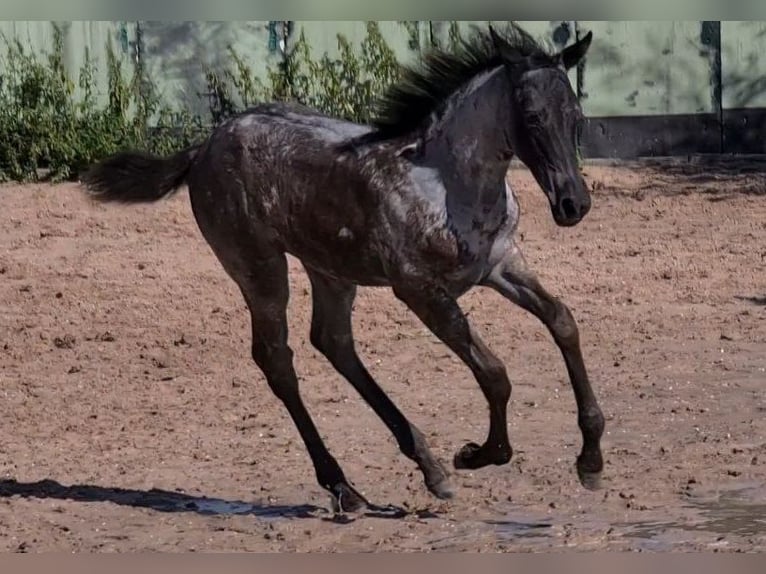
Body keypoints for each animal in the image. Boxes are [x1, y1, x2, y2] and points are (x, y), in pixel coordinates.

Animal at [82, 24, 608, 516]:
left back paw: (424, 468)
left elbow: (563, 321)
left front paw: (590, 461)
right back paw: (346, 486)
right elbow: (494, 372)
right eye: (532, 116)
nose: (573, 204)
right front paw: (477, 454)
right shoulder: (420, 291)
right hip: (258, 267)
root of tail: (204, 146)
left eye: (576, 116)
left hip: (329, 269)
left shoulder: (501, 265)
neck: (446, 183)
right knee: (277, 359)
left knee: (332, 341)